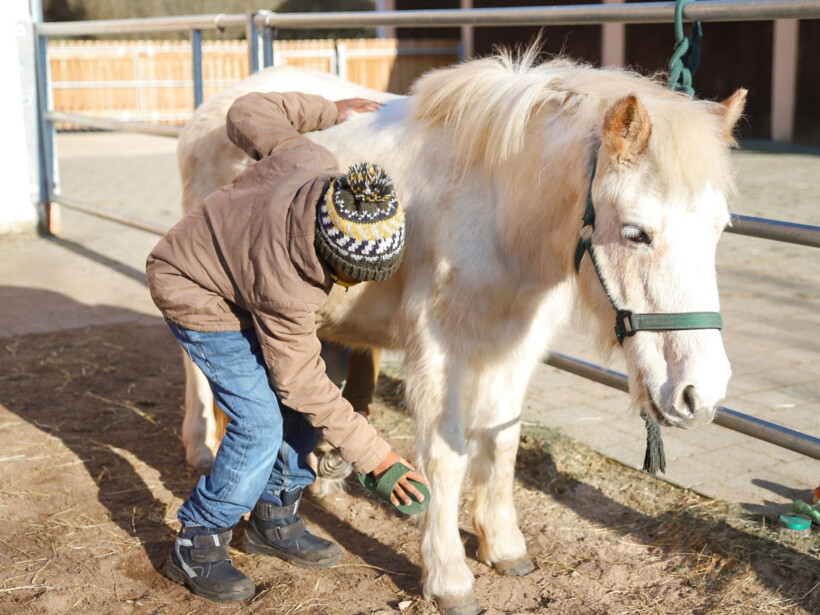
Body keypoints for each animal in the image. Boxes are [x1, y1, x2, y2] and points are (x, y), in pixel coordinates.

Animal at [176, 49, 745, 615]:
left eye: (720, 228)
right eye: (635, 232)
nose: (700, 395)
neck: (498, 215)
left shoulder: (515, 350)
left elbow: (502, 443)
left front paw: (504, 545)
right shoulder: (438, 353)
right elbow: (446, 458)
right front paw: (449, 576)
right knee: (203, 373)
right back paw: (202, 448)